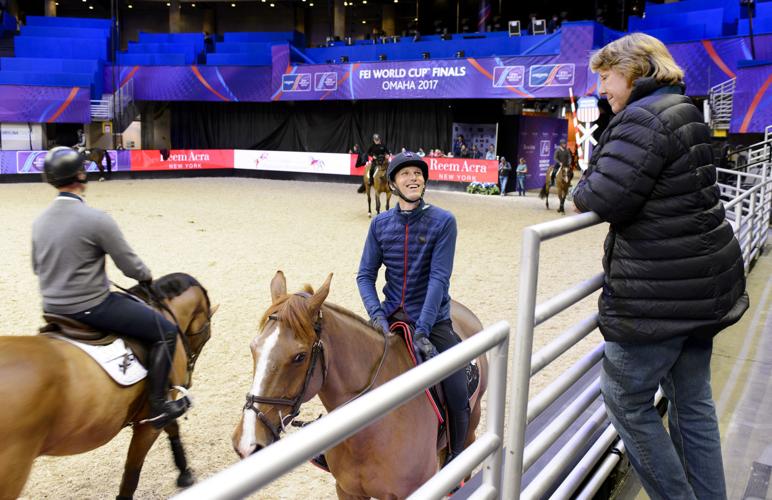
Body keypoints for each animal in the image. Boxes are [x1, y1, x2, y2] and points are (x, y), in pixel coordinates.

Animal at [0, 274, 217, 500]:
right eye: (207, 333)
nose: (188, 382)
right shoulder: (150, 421)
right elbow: (131, 475)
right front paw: (185, 473)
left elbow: (172, 427)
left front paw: (184, 472)